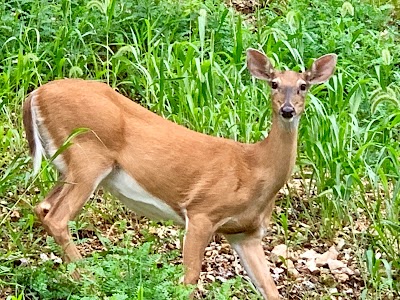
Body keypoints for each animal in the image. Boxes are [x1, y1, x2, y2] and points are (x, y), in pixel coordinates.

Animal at [21, 48, 334, 298]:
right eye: (274, 83)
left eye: (303, 86)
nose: (287, 110)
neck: (255, 168)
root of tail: (34, 94)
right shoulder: (202, 212)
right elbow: (189, 280)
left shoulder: (245, 233)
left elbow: (271, 291)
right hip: (88, 157)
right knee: (58, 217)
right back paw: (89, 282)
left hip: (68, 165)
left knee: (43, 207)